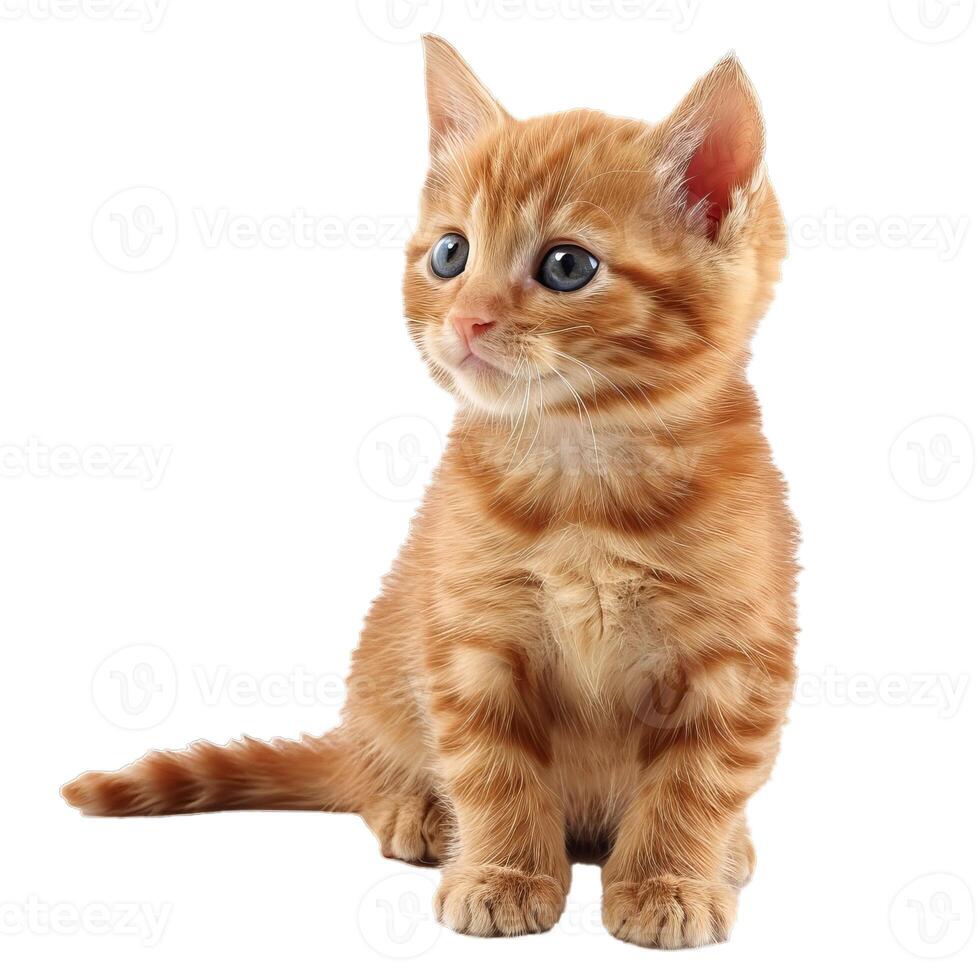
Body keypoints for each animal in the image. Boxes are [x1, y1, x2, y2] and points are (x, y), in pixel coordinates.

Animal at [61, 38, 796, 948]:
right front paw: (504, 872)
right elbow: (490, 767)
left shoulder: (738, 657)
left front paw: (669, 880)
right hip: (383, 669)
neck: (582, 481)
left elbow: (700, 780)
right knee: (377, 772)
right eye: (451, 254)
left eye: (566, 266)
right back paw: (417, 809)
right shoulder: (468, 636)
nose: (467, 319)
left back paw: (728, 850)